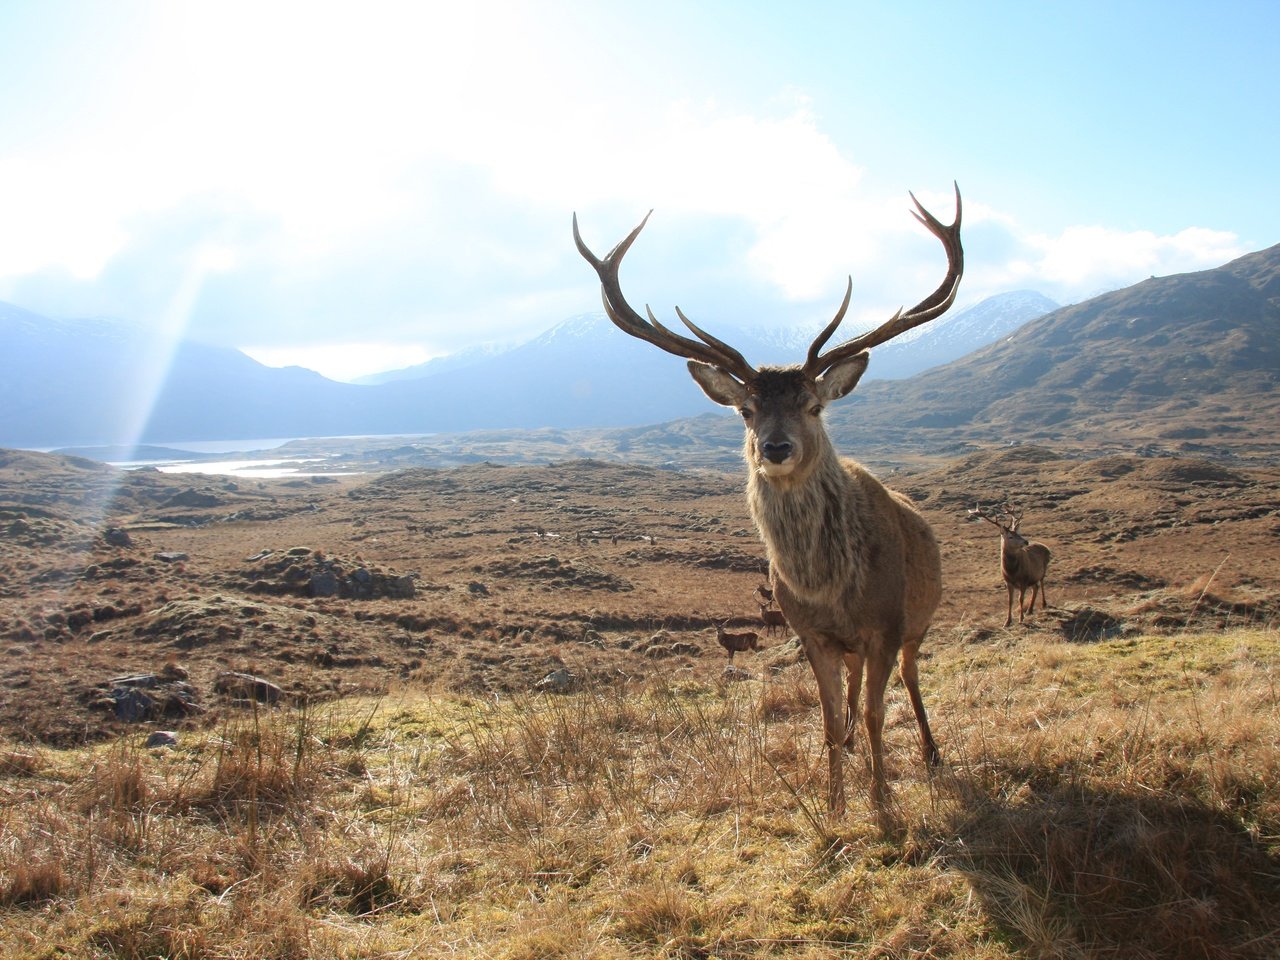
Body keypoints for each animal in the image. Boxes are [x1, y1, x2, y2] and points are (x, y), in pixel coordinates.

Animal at [576, 185, 962, 814]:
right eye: (746, 410)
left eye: (814, 404)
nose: (775, 448)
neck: (829, 587)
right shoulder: (811, 635)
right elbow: (827, 721)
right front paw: (834, 802)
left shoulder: (886, 623)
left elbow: (879, 715)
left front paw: (882, 799)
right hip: (856, 645)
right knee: (855, 688)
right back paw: (854, 749)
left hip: (918, 623)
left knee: (909, 679)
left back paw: (931, 753)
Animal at [967, 504, 1049, 632]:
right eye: (1010, 536)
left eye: (1018, 533)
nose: (1026, 541)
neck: (1012, 572)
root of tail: (1046, 547)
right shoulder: (1008, 582)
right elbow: (1010, 601)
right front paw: (1007, 622)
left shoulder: (1023, 580)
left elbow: (1020, 599)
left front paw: (1021, 619)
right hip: (1032, 577)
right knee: (1035, 587)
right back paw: (1030, 610)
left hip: (1042, 570)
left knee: (1042, 584)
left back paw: (1044, 604)